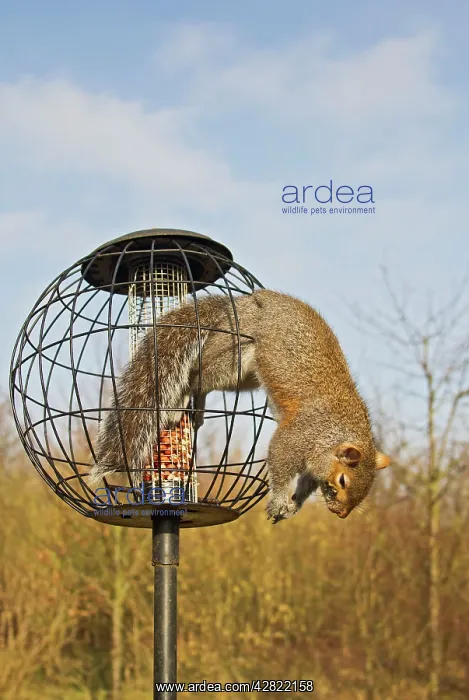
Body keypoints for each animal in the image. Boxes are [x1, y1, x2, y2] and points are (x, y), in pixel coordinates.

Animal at [88, 290, 390, 522]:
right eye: (343, 481)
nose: (341, 514)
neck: (336, 429)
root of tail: (240, 304)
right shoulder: (300, 434)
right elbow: (279, 458)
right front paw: (279, 500)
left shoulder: (314, 460)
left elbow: (306, 482)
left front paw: (294, 505)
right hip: (232, 353)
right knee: (195, 375)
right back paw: (181, 401)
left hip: (243, 378)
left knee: (202, 384)